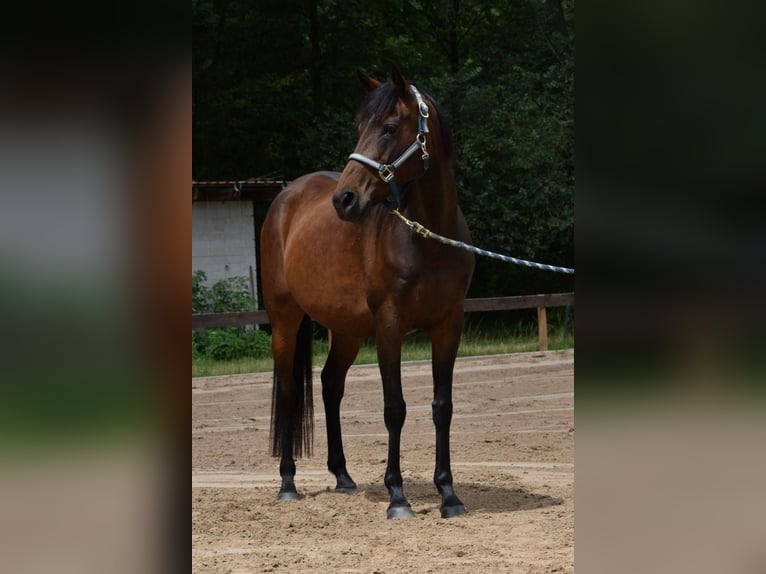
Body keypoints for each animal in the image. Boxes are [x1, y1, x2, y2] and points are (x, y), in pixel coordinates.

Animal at [260, 67, 474, 520]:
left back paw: (343, 476)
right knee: (288, 392)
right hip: (286, 320)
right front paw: (397, 497)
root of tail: (286, 195)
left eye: (390, 127)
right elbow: (395, 408)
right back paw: (288, 483)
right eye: (360, 127)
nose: (345, 199)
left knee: (329, 384)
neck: (427, 239)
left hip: (346, 330)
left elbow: (441, 407)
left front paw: (448, 495)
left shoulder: (449, 327)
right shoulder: (389, 327)